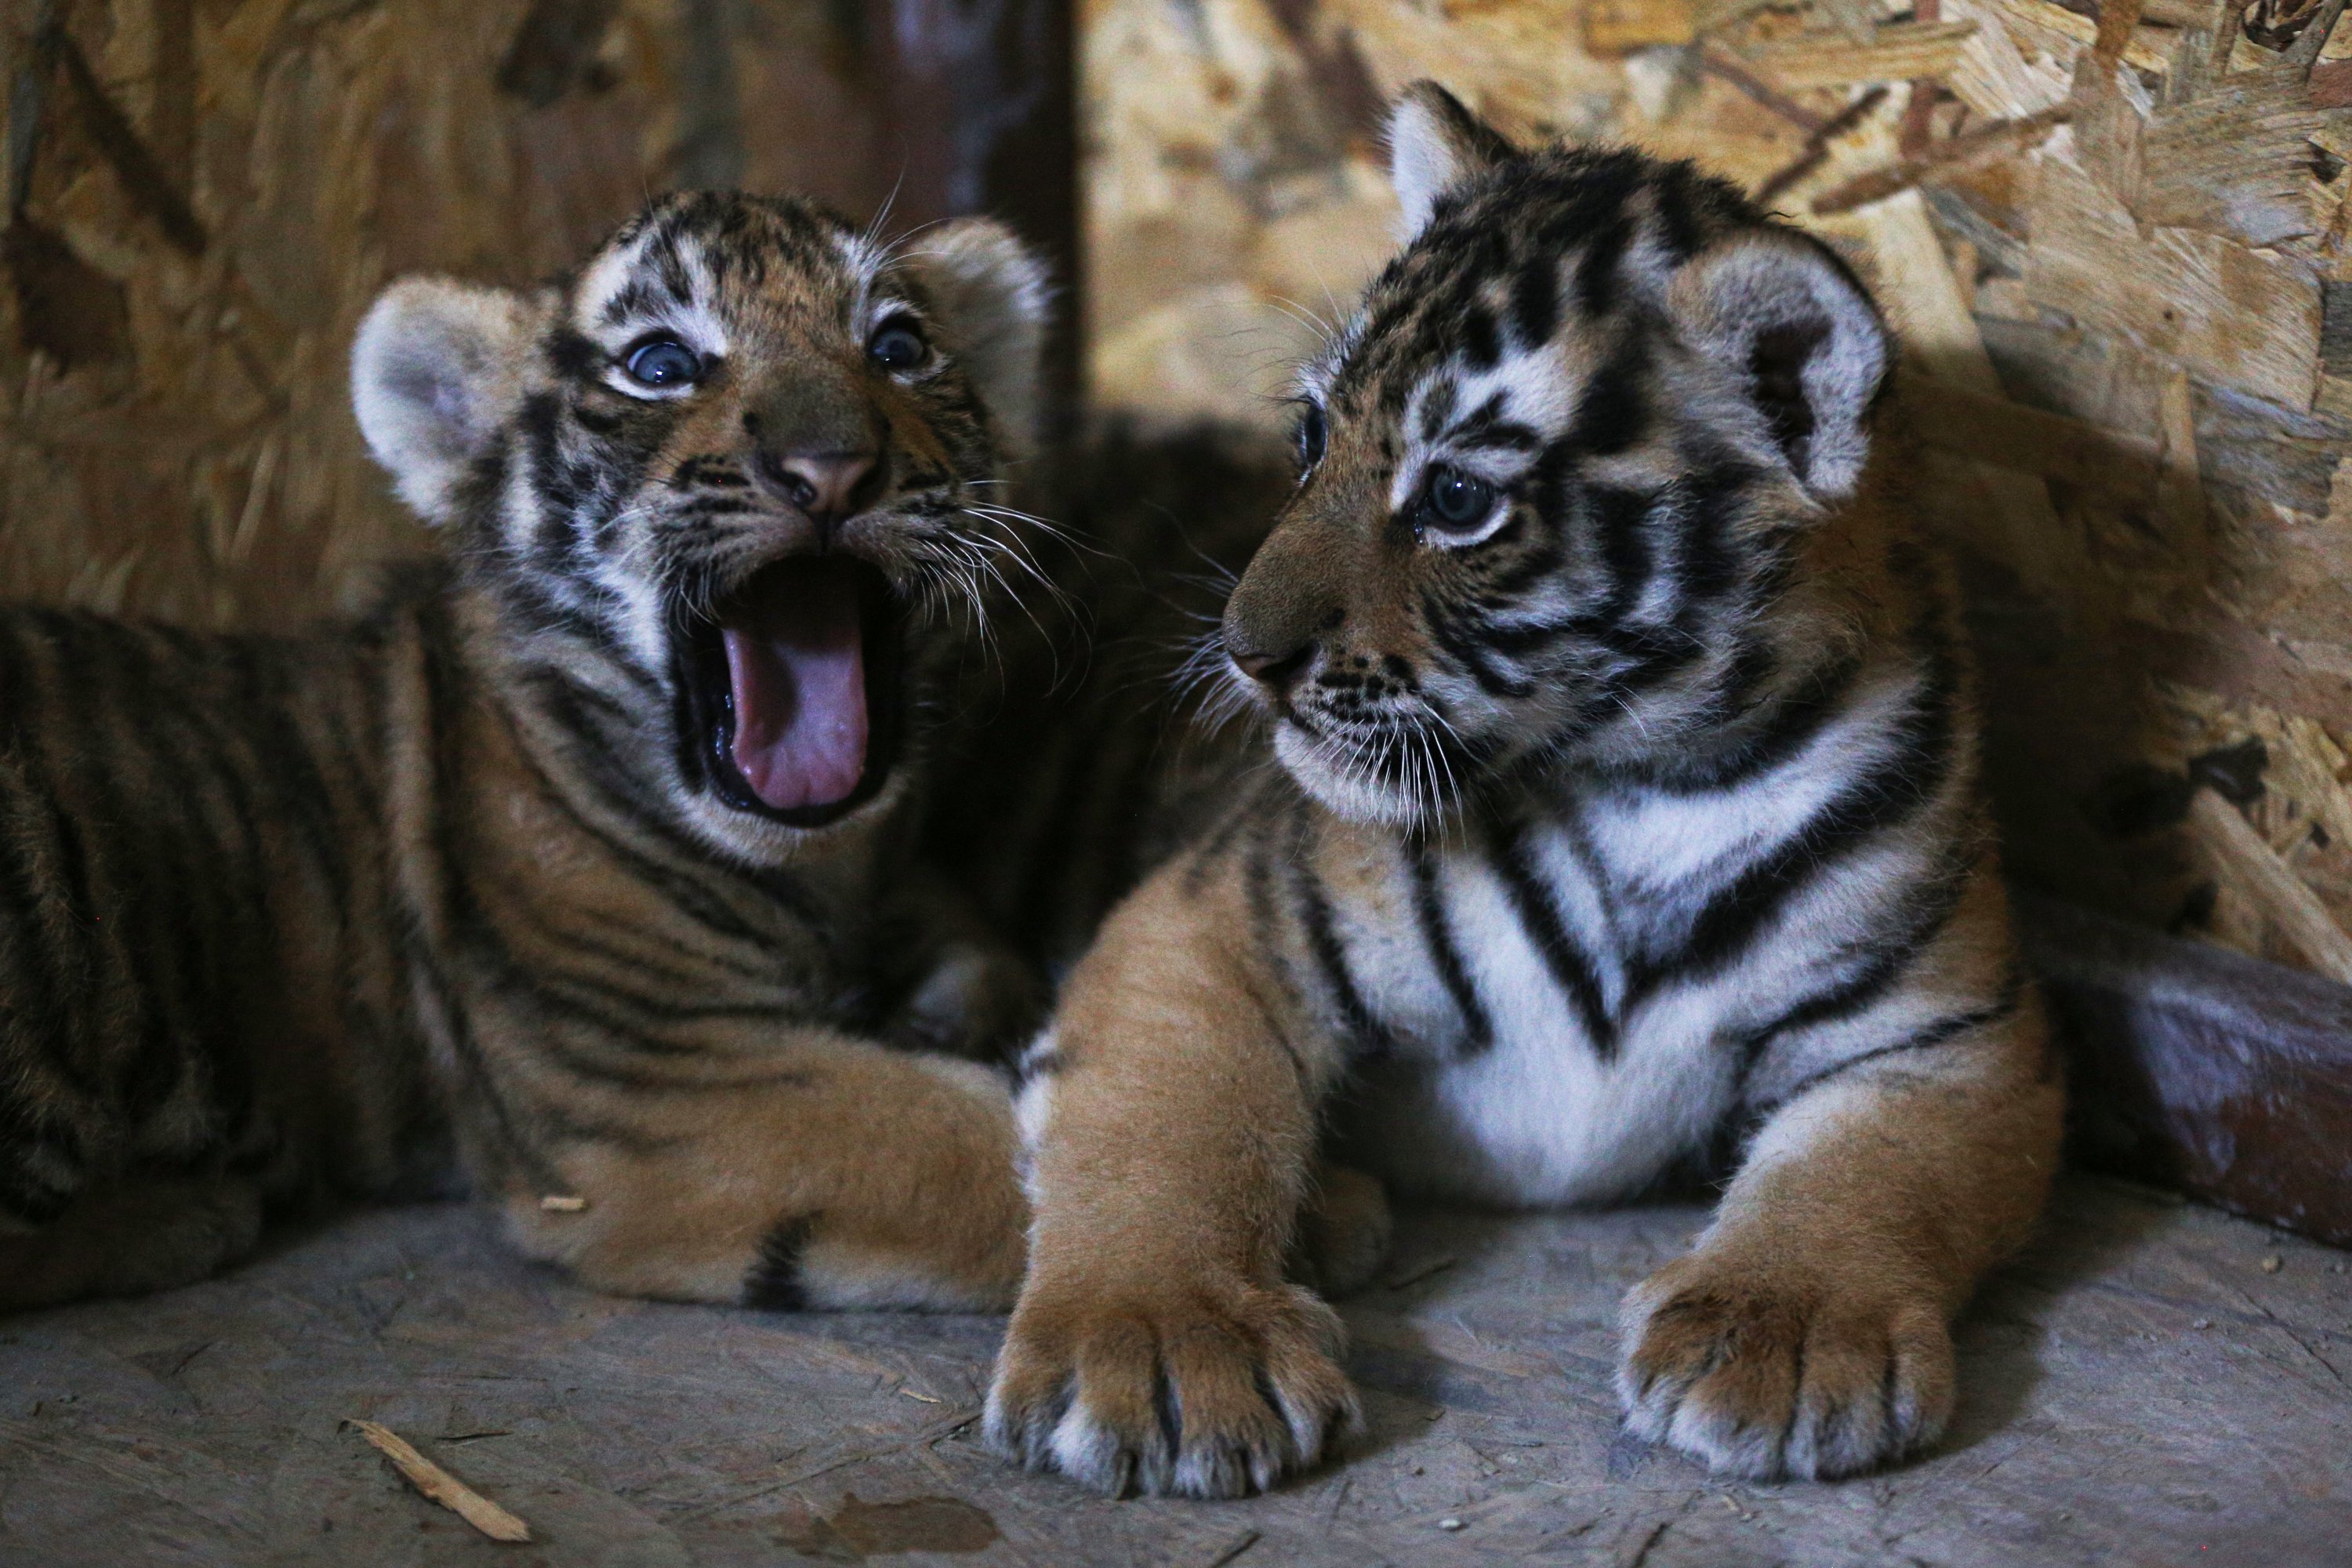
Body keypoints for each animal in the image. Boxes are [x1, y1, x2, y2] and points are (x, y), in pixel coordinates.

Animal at [0, 190, 1062, 1314]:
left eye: (898, 347)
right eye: (659, 363)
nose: (833, 470)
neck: (823, 867)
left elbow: (983, 944)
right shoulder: (660, 1070)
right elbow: (991, 1147)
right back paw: (179, 1217)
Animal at [984, 82, 2066, 1495]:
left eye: (1455, 498)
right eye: (1309, 439)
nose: (1244, 652)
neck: (1655, 786)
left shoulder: (1949, 1028)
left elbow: (1872, 1176)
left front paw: (1783, 1330)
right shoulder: (1209, 918)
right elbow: (1162, 1127)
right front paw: (1164, 1347)